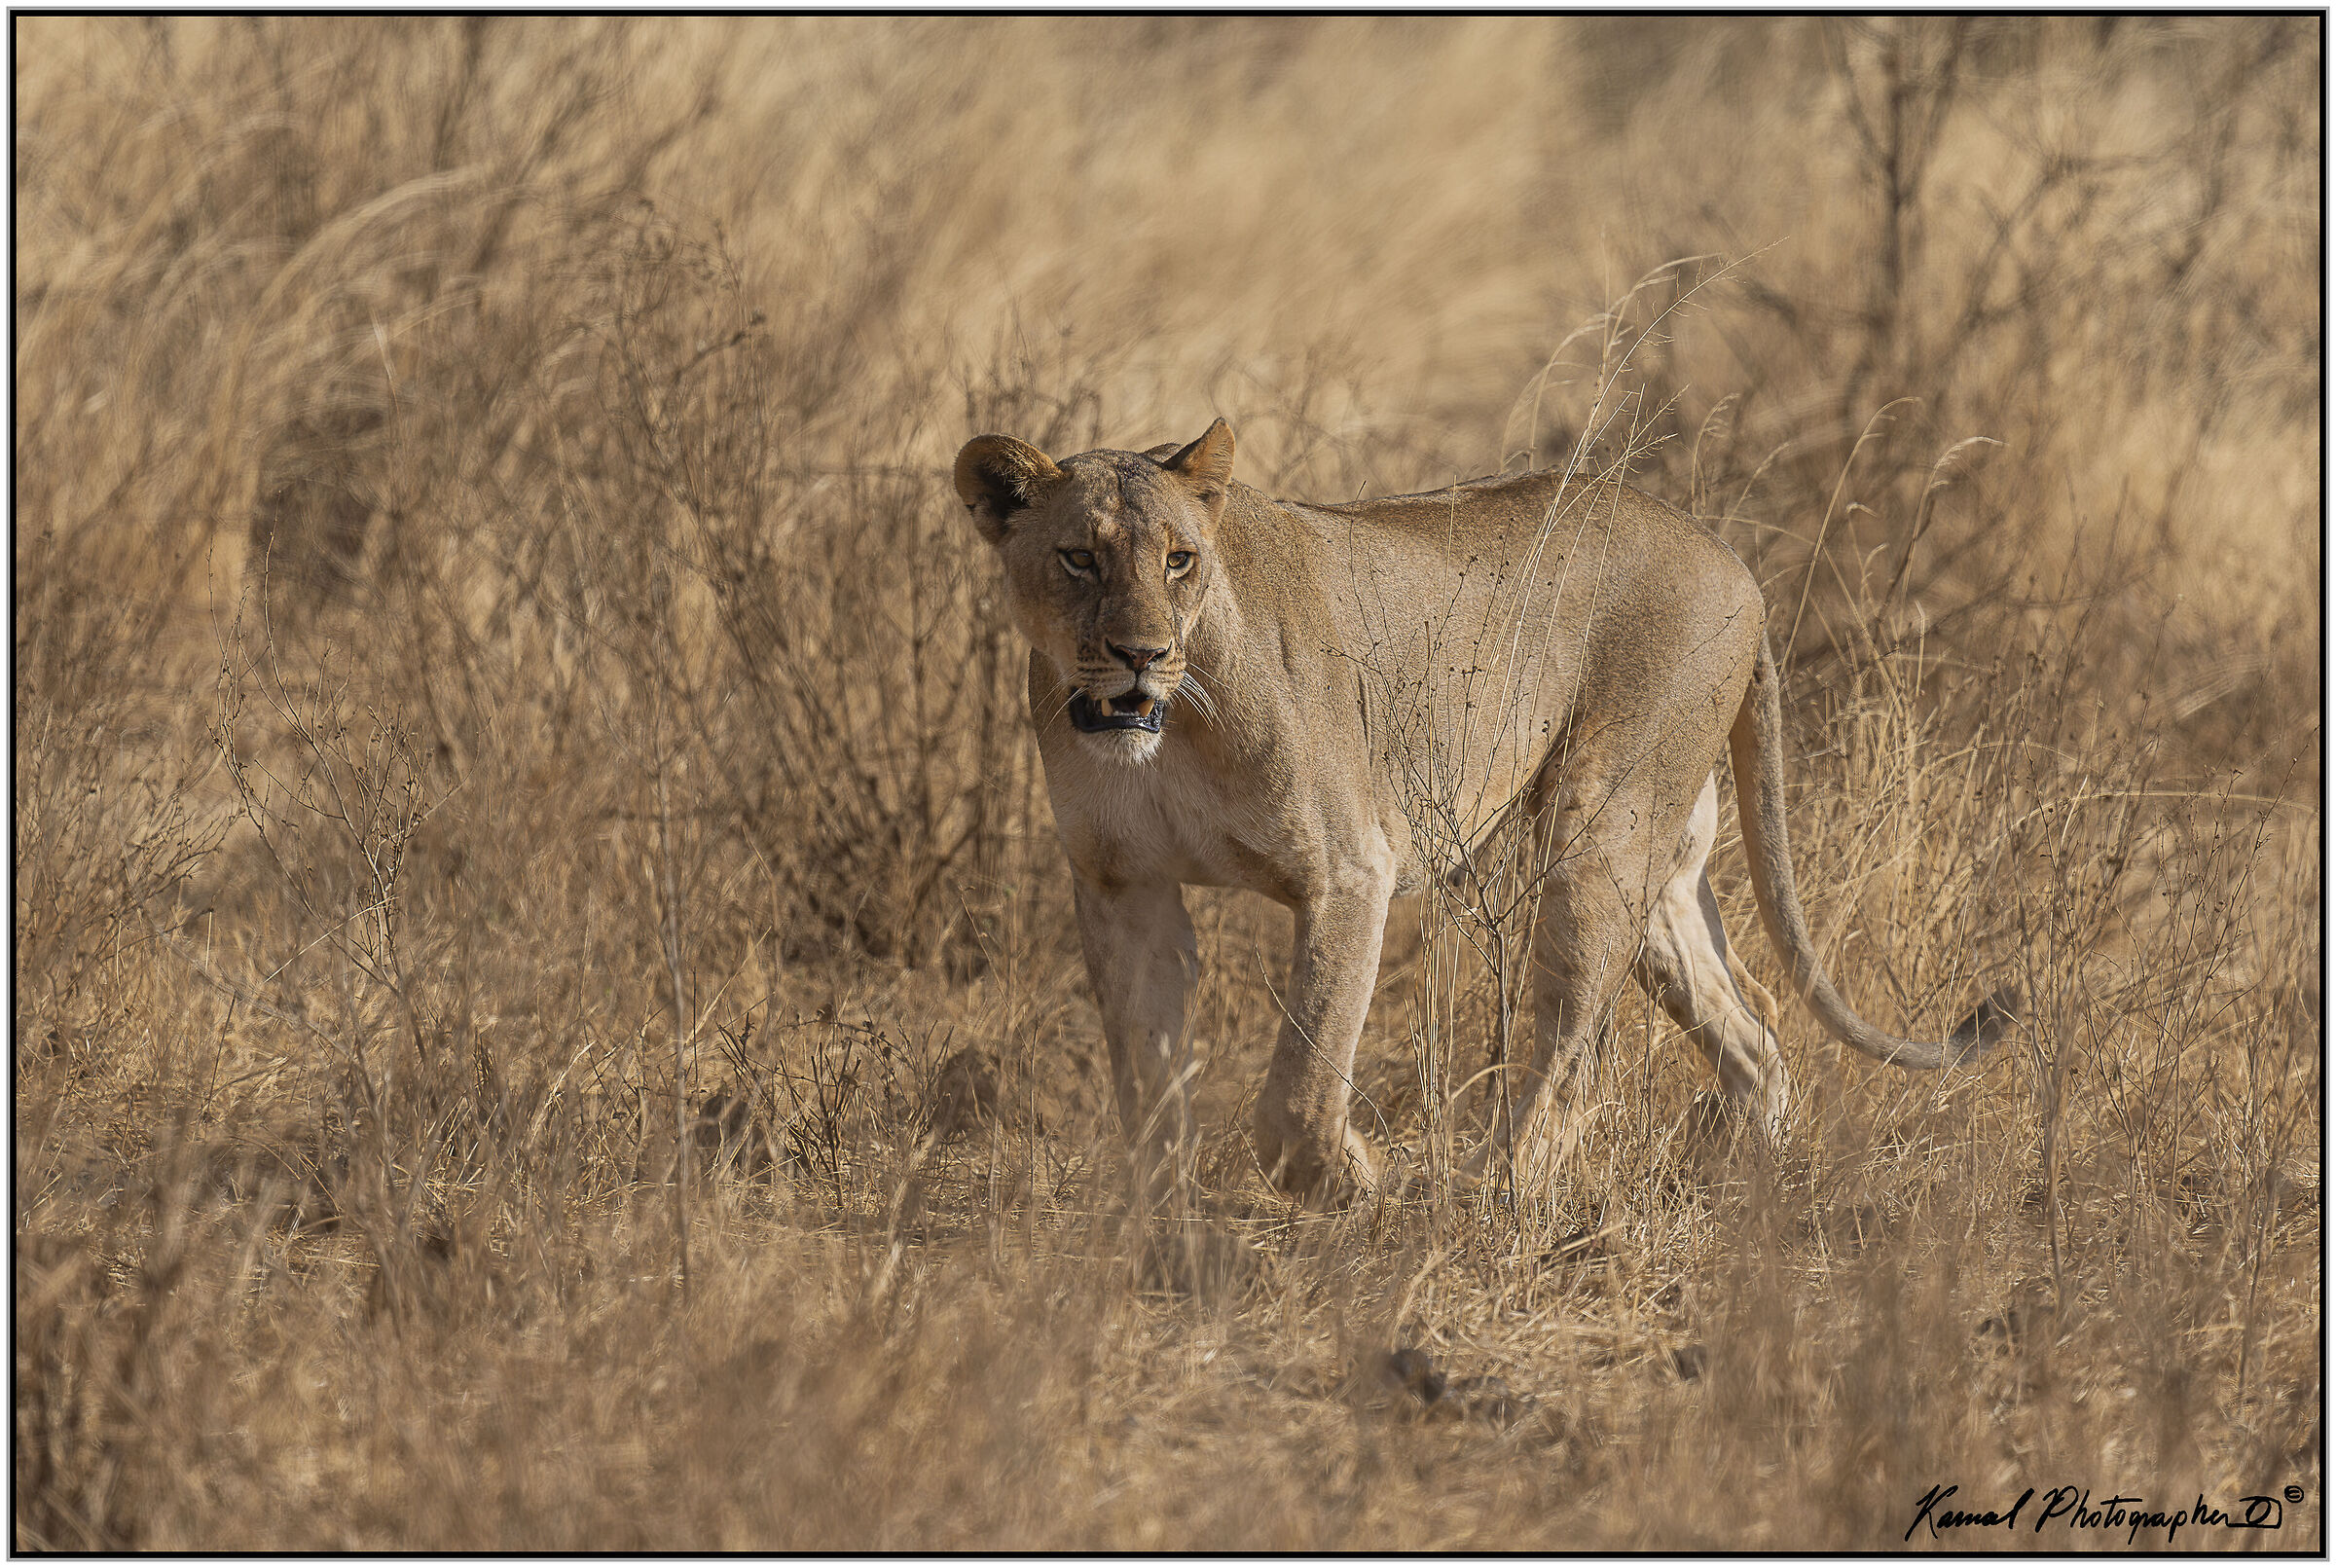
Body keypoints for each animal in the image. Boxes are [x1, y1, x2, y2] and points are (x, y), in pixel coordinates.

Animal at [954, 418, 2012, 1199]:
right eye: (1079, 558)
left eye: (1179, 560)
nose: (1140, 654)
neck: (1161, 733)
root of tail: (1737, 565)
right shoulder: (1122, 884)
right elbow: (1147, 1081)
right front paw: (1164, 1227)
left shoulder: (1350, 871)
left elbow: (1301, 1085)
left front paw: (1355, 1178)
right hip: (1660, 872)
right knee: (1753, 1028)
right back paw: (1755, 1188)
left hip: (1596, 831)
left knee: (1576, 1056)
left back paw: (1480, 1197)